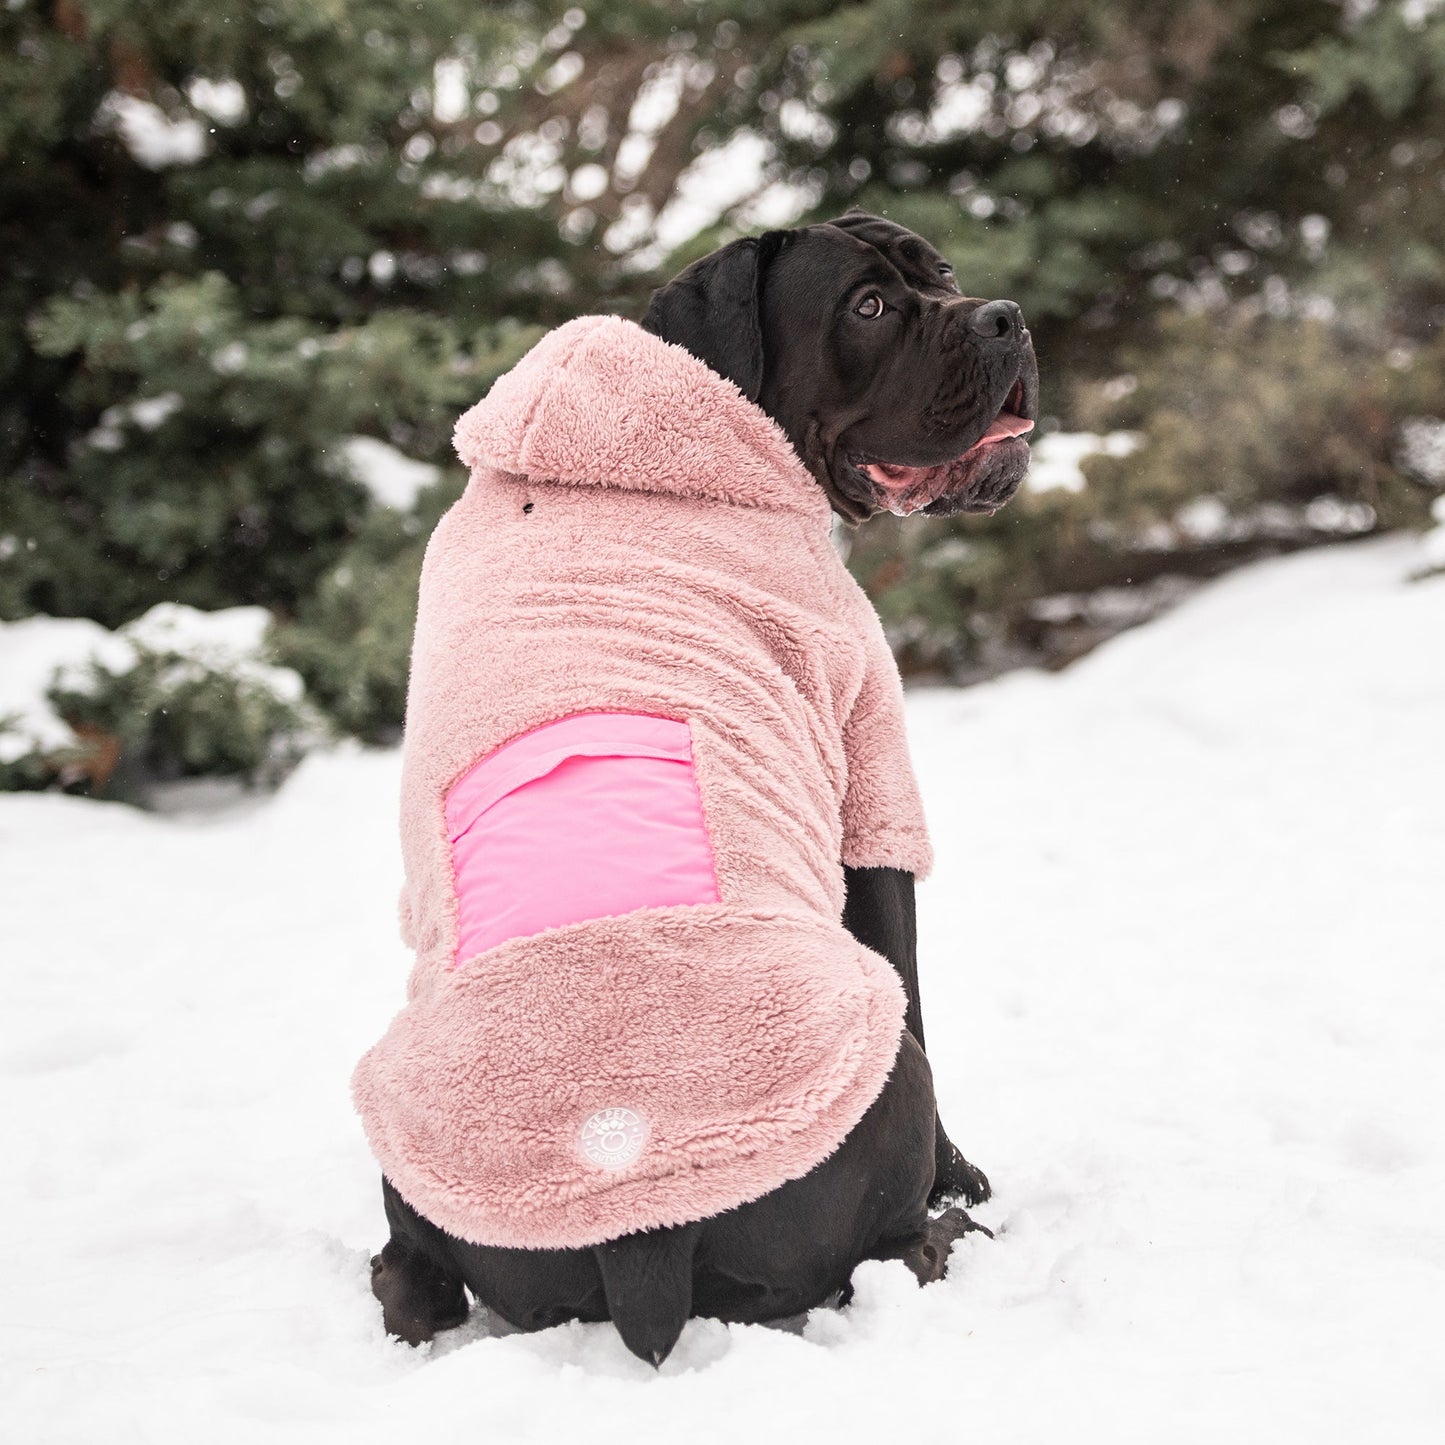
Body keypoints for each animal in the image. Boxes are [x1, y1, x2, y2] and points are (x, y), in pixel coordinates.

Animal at [367, 210, 1034, 1364]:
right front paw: (965, 1176)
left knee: (412, 1276)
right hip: (871, 1045)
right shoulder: (866, 763)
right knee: (888, 1243)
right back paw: (955, 1225)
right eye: (867, 306)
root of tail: (640, 1228)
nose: (1003, 316)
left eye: (939, 270)